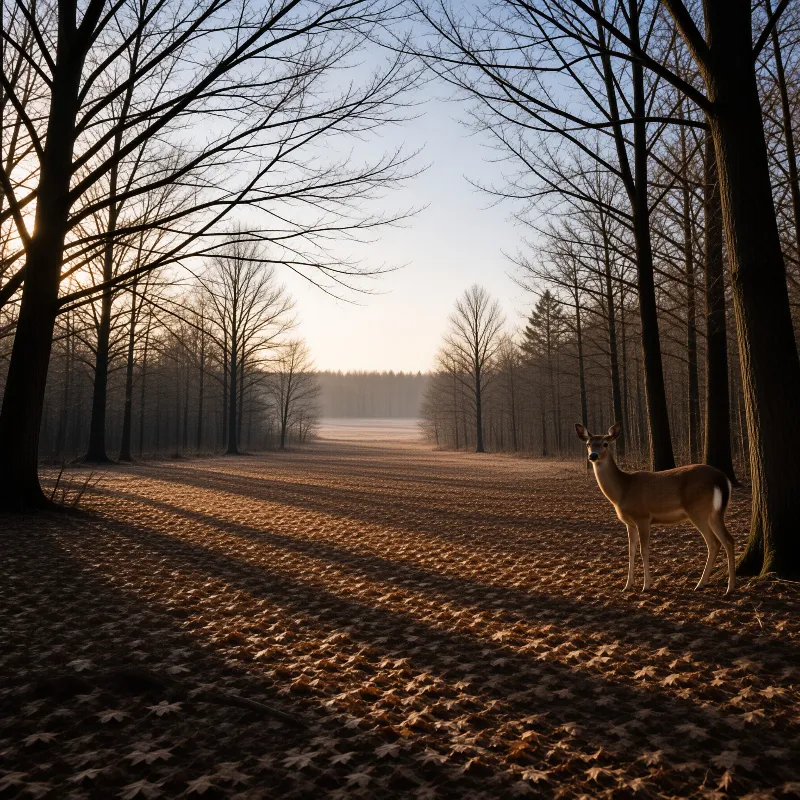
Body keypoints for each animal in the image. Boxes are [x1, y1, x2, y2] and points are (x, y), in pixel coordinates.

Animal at [575, 422, 736, 595]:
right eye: (588, 444)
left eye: (605, 444)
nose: (593, 456)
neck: (623, 490)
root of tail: (723, 479)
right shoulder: (629, 523)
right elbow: (631, 551)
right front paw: (627, 585)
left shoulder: (643, 517)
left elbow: (644, 550)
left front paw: (646, 585)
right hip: (716, 513)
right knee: (728, 540)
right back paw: (726, 586)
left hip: (698, 510)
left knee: (713, 543)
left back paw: (705, 584)